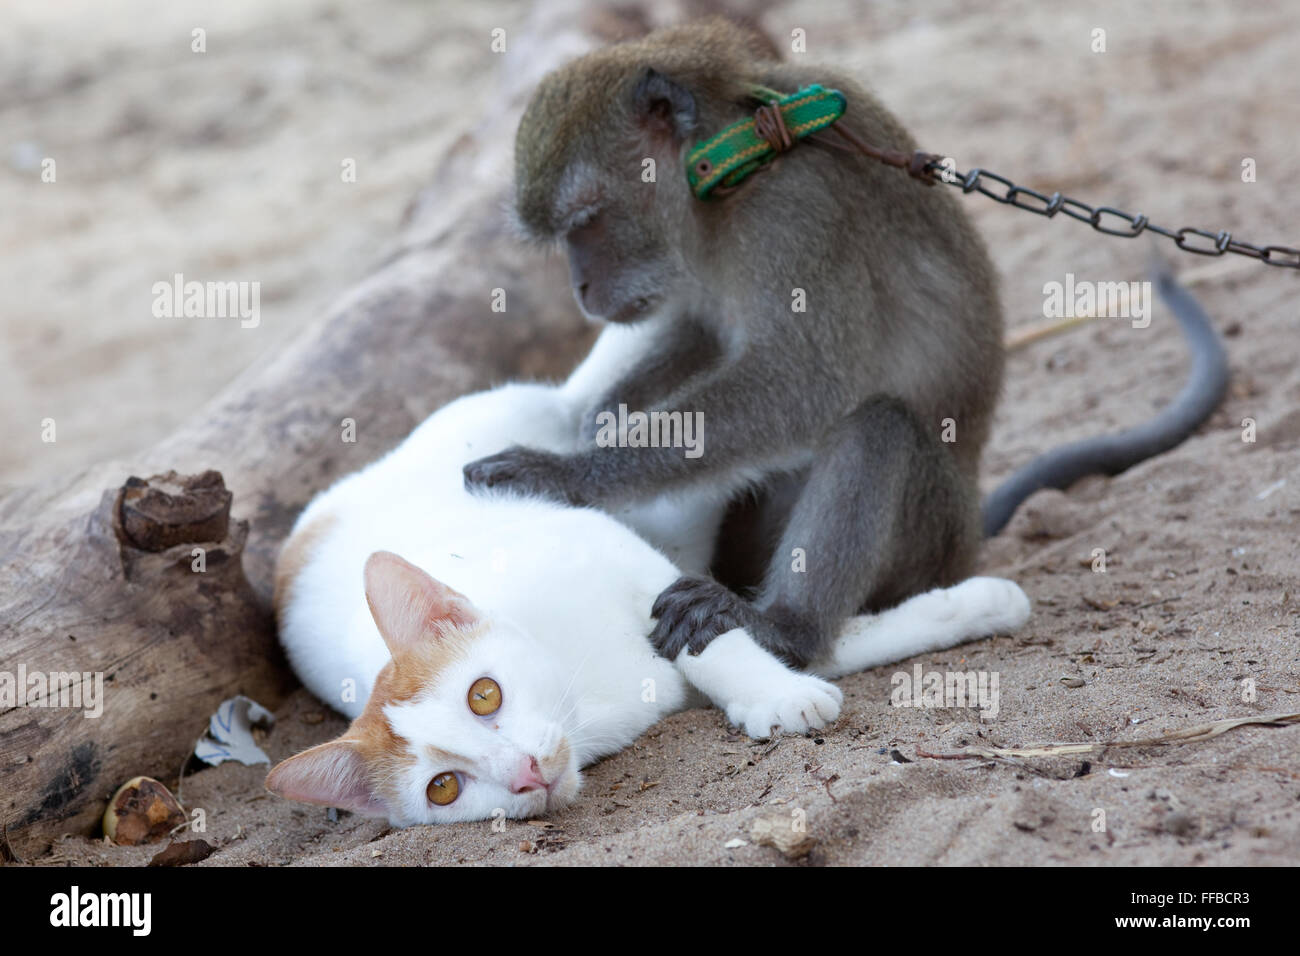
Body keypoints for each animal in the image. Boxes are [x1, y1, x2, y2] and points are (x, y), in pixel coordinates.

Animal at [269, 325, 1029, 827]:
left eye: (483, 695)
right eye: (444, 788)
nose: (523, 774)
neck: (584, 693)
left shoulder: (624, 562)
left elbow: (714, 639)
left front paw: (782, 693)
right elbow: (817, 645)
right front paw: (971, 608)